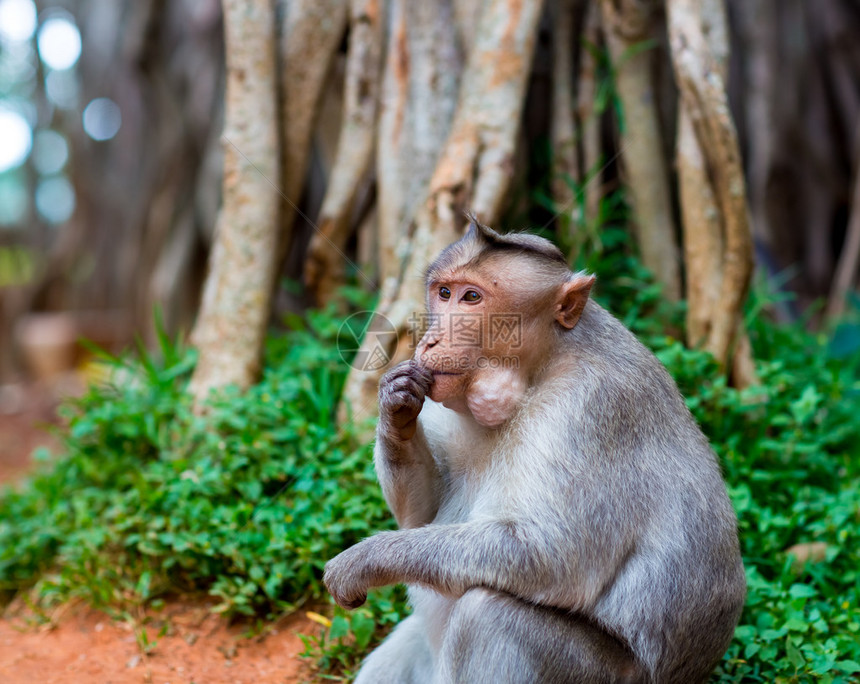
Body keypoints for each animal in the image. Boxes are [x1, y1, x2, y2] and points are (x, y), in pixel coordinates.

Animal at [322, 219, 744, 684]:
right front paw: (395, 402)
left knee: (487, 613)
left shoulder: (589, 410)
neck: (538, 371)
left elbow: (554, 557)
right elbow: (422, 514)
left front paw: (364, 561)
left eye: (472, 298)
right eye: (444, 292)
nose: (430, 341)